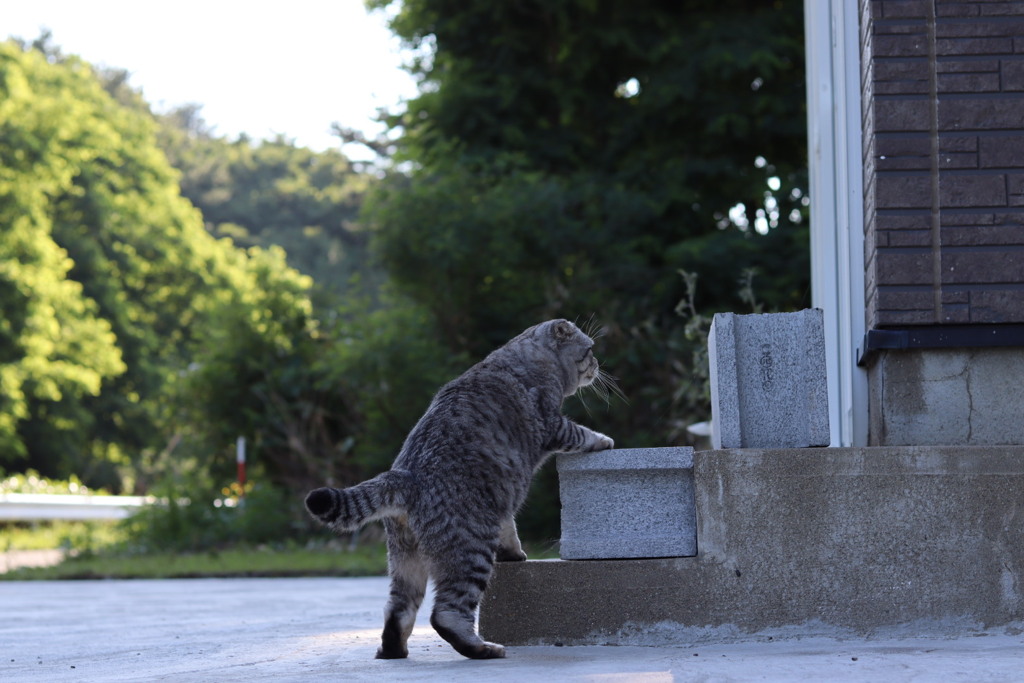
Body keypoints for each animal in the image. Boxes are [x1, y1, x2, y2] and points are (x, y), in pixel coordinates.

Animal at [299, 321, 610, 663]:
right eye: (590, 349)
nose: (598, 363)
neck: (523, 358)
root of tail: (406, 478)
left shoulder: (502, 500)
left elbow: (509, 528)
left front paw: (514, 553)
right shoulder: (553, 424)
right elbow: (581, 433)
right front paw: (604, 440)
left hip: (405, 560)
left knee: (398, 611)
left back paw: (394, 651)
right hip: (471, 551)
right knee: (446, 614)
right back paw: (482, 648)